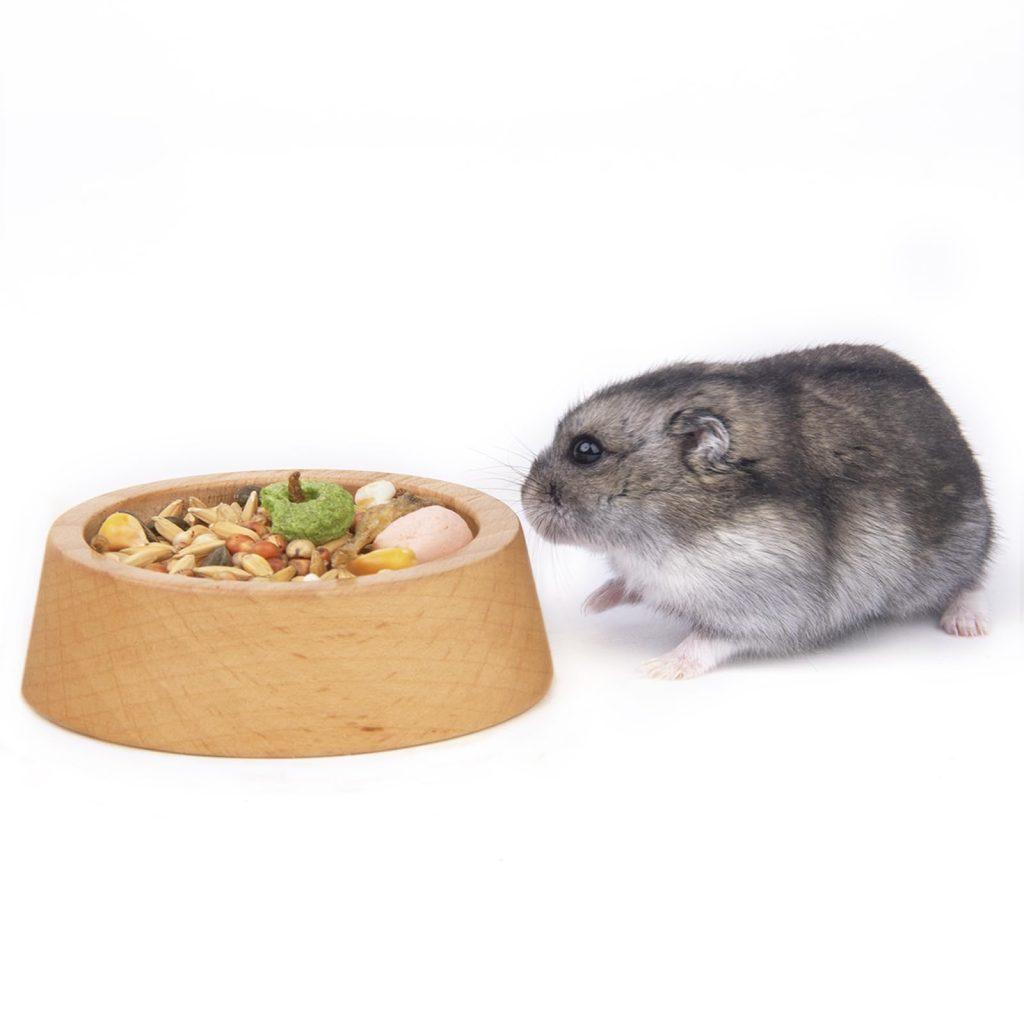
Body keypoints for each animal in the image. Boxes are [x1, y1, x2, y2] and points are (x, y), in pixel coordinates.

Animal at [521, 344, 993, 678]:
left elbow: (708, 639)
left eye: (586, 451)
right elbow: (629, 583)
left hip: (960, 547)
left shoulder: (769, 608)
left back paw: (967, 625)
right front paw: (591, 604)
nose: (525, 501)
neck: (653, 535)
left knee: (971, 581)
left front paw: (656, 670)